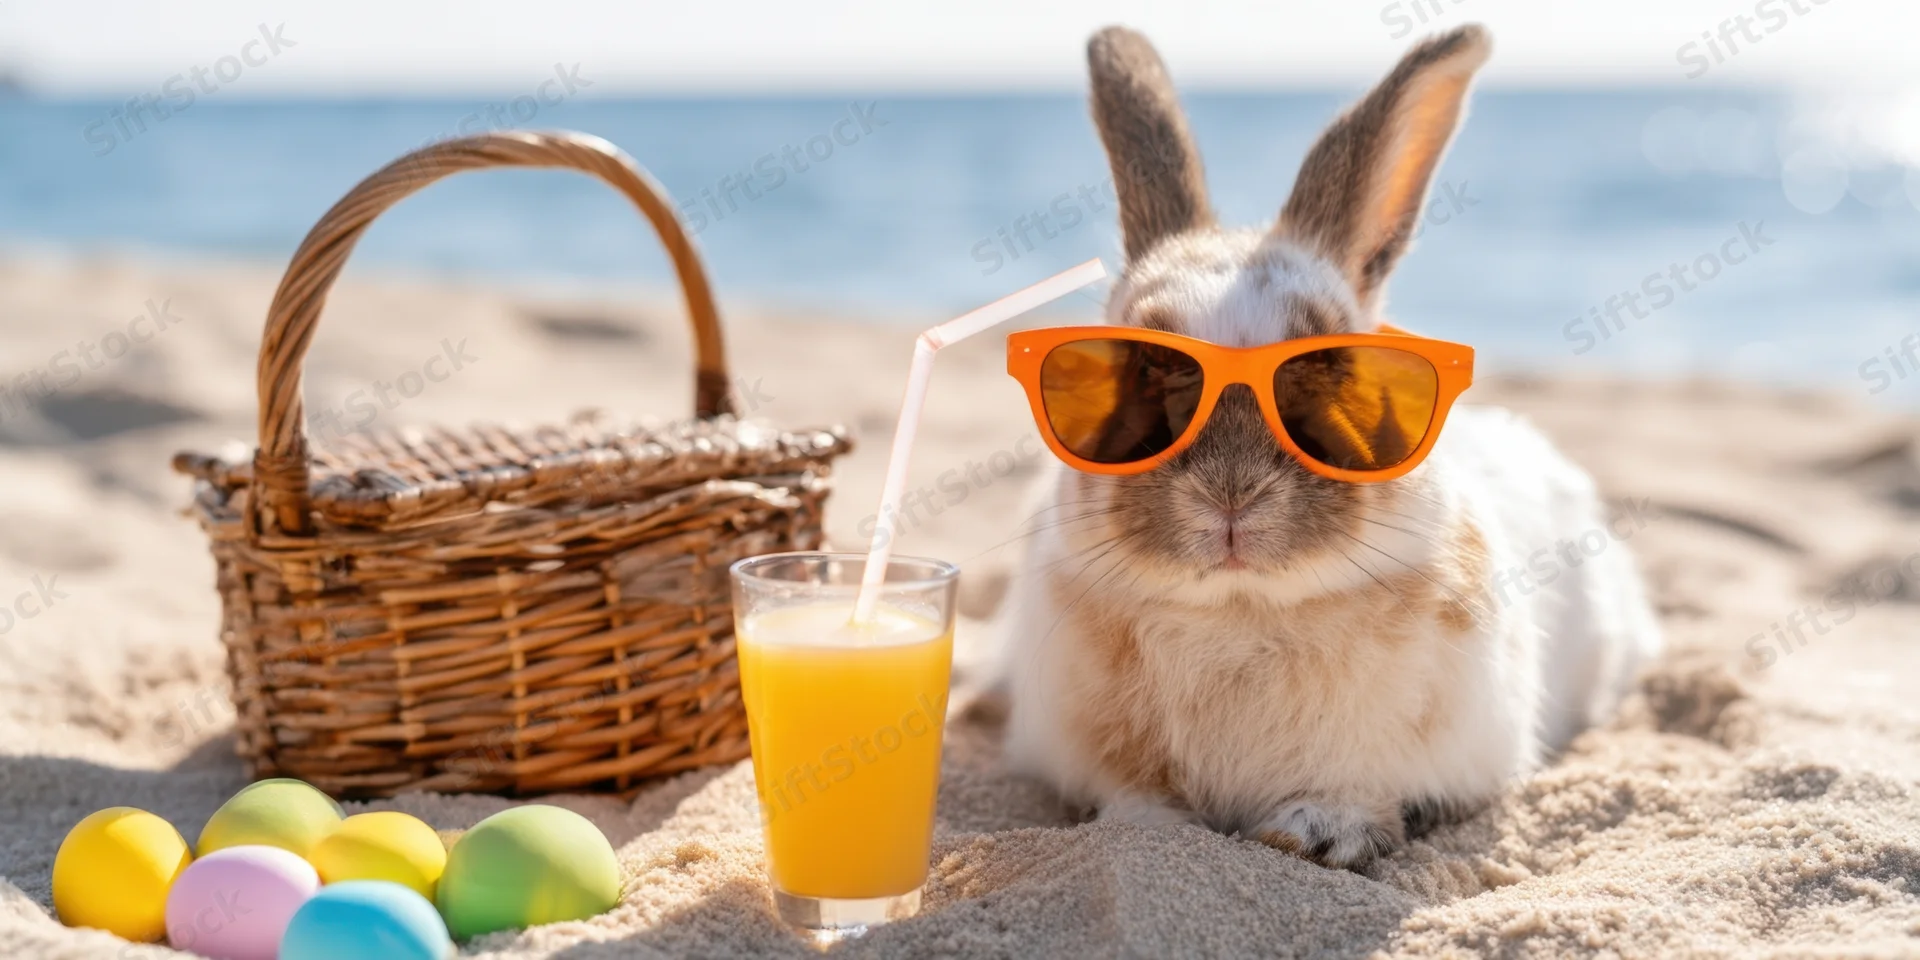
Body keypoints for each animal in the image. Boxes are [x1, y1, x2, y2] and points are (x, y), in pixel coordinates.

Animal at [996, 23, 1663, 869]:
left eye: (1329, 376)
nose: (1231, 493)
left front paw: (1314, 834)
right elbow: (1138, 802)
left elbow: (1363, 797)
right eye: (1145, 373)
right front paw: (1148, 830)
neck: (1240, 615)